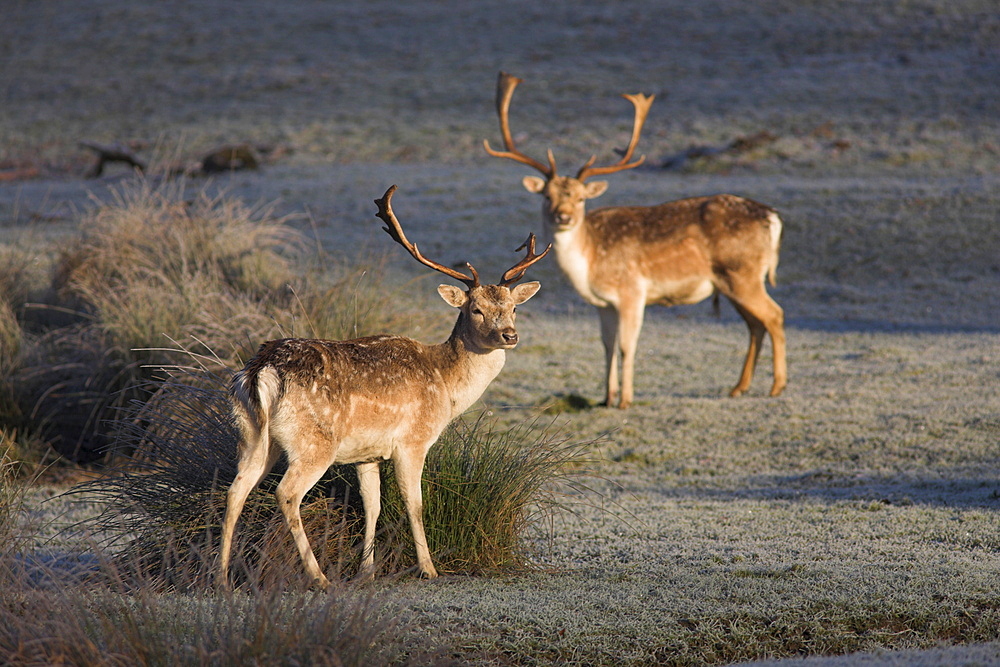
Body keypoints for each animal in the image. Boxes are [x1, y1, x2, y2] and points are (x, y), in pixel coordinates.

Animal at [215, 184, 552, 588]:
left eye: (513, 308)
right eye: (476, 309)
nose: (509, 335)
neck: (446, 386)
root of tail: (262, 370)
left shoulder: (367, 453)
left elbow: (372, 505)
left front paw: (367, 570)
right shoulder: (412, 440)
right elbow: (414, 503)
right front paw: (428, 568)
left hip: (251, 434)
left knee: (236, 490)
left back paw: (220, 579)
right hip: (314, 441)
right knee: (287, 493)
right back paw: (318, 577)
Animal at [484, 72, 788, 408]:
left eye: (580, 198)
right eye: (547, 196)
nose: (563, 217)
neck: (590, 263)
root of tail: (773, 216)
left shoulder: (632, 291)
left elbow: (626, 346)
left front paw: (625, 400)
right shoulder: (603, 303)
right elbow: (606, 345)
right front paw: (606, 397)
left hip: (742, 274)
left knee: (774, 315)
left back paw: (777, 386)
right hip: (734, 280)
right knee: (755, 324)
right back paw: (739, 387)